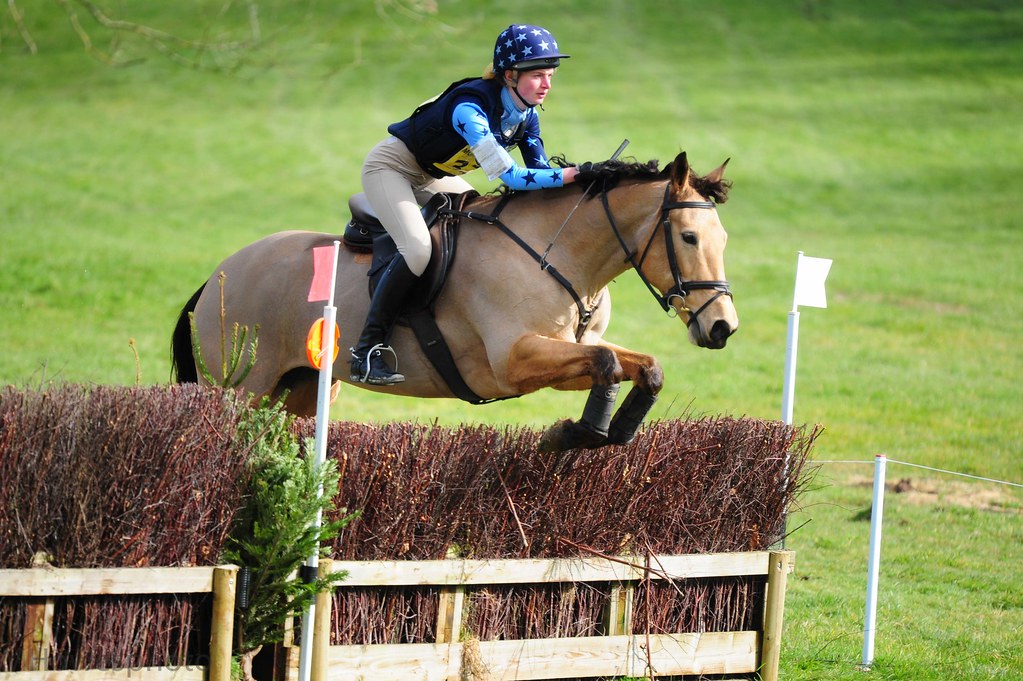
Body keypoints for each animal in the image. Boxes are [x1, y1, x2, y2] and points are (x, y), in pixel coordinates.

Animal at [171, 152, 738, 452]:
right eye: (688, 237)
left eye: (724, 238)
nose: (722, 329)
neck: (556, 253)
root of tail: (217, 276)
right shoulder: (512, 361)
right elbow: (605, 363)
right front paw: (573, 434)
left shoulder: (561, 352)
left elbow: (639, 366)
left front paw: (608, 433)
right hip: (242, 388)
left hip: (305, 389)